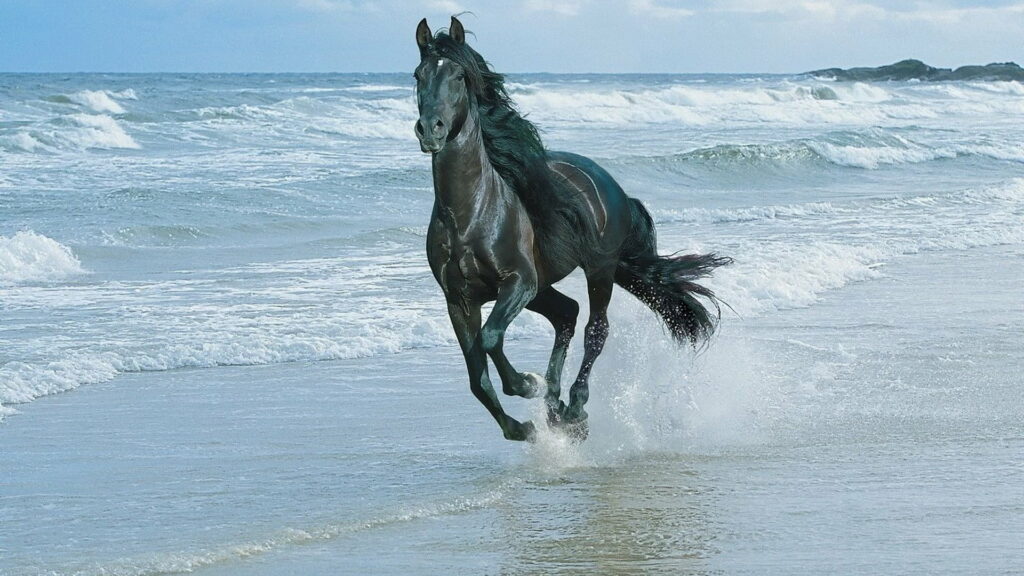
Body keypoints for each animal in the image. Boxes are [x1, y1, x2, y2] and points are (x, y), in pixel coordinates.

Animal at [414, 16, 730, 442]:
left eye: (460, 76)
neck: (470, 215)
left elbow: (491, 338)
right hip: (544, 286)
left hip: (598, 270)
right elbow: (477, 377)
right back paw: (555, 407)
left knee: (595, 329)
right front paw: (523, 426)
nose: (430, 129)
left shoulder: (518, 282)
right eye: (418, 75)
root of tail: (609, 184)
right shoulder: (459, 300)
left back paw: (574, 407)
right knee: (567, 313)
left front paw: (526, 384)